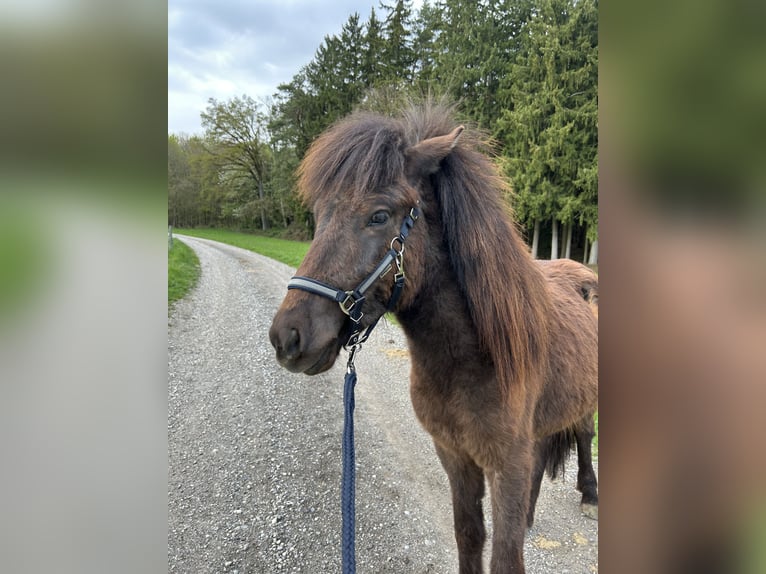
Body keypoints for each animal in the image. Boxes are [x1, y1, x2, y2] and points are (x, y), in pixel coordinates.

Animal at [269, 104, 598, 574]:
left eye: (379, 215)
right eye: (320, 215)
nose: (287, 337)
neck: (471, 359)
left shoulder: (506, 465)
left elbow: (505, 557)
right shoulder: (455, 456)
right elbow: (469, 536)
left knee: (585, 434)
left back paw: (590, 494)